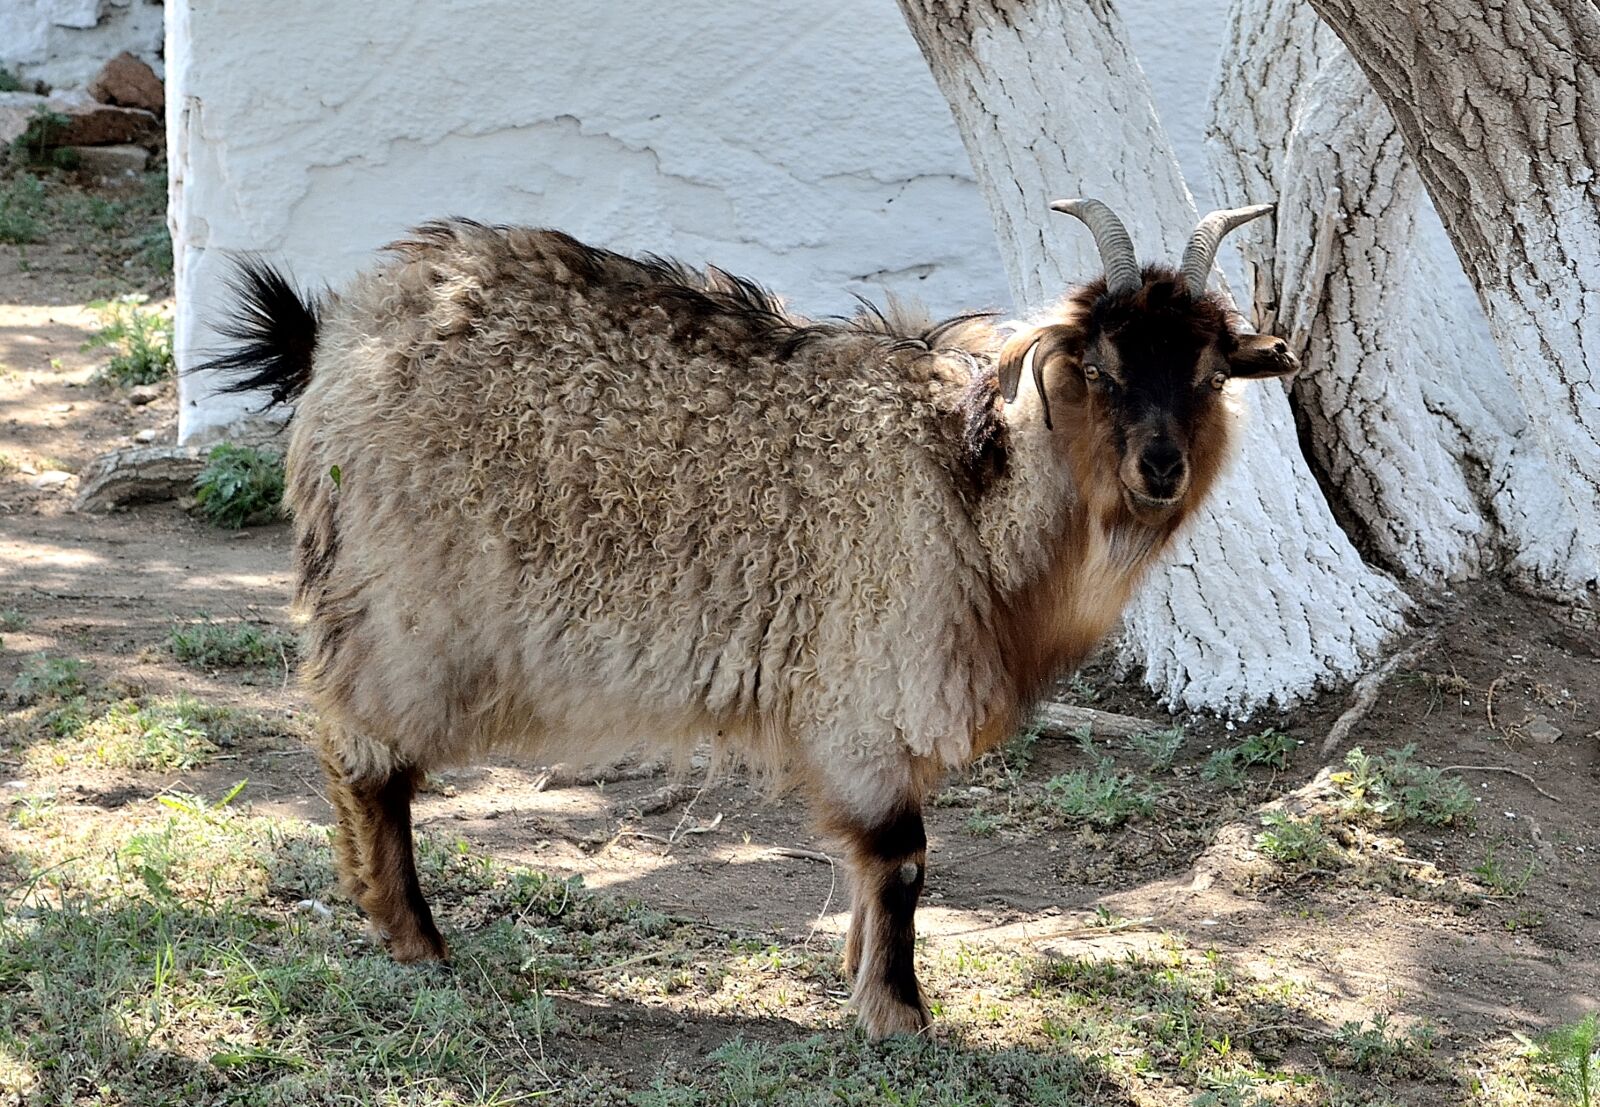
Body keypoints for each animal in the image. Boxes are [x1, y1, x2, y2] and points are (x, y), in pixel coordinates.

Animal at [202, 198, 1296, 1039]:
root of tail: (341, 330)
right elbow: (900, 855)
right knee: (366, 755)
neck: (973, 481)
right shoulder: (866, 679)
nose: (1161, 466)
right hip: (404, 604)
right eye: (1101, 366)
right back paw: (414, 936)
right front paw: (898, 1012)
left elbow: (870, 863)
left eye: (1210, 373)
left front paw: (860, 973)